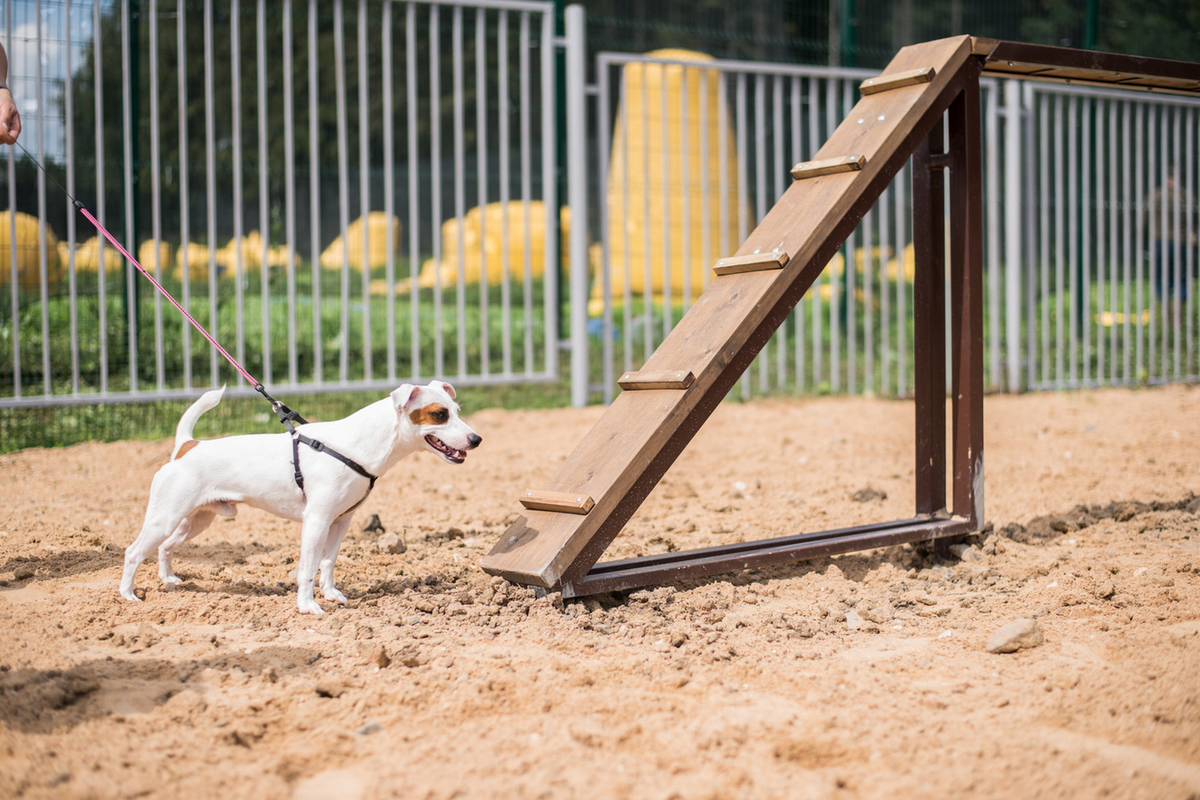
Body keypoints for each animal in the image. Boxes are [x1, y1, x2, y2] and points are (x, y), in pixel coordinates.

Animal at [119, 381, 480, 614]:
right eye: (439, 414)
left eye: (457, 410)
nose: (476, 439)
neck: (357, 444)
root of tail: (186, 446)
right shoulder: (316, 521)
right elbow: (308, 566)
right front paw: (308, 606)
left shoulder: (340, 522)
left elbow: (328, 562)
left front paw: (331, 594)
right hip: (164, 518)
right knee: (134, 552)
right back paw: (128, 596)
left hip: (195, 521)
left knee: (165, 547)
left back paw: (168, 580)